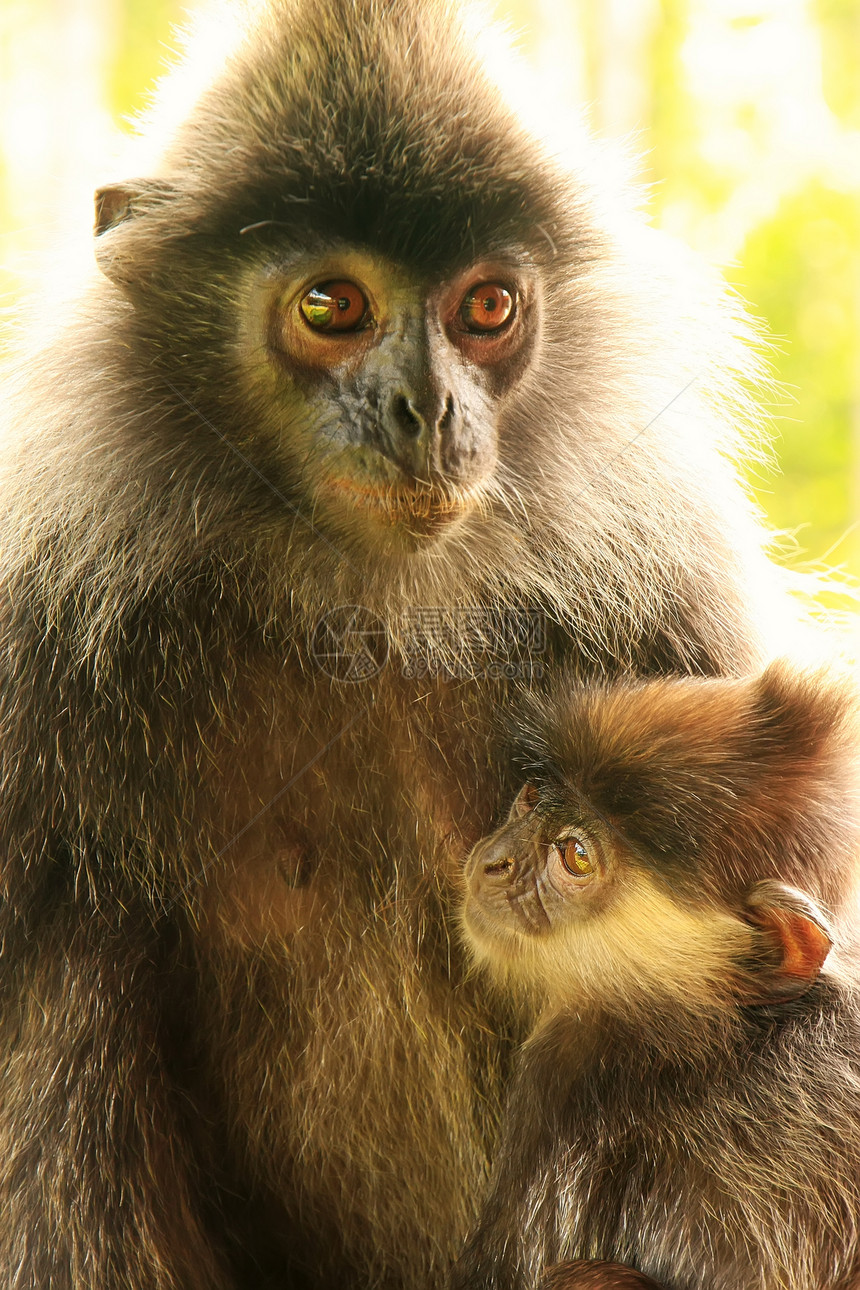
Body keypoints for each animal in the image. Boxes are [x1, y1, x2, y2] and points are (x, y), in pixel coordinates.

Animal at [0, 2, 794, 1290]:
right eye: (332, 306)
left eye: (485, 309)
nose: (426, 412)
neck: (359, 606)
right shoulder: (30, 627)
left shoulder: (672, 599)